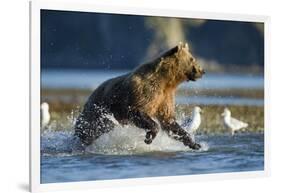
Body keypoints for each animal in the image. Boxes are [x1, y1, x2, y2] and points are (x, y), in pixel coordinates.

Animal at [74, 42, 205, 149]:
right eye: (192, 59)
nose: (202, 71)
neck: (166, 81)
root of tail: (90, 95)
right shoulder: (145, 91)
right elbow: (138, 111)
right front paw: (149, 137)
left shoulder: (165, 97)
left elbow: (169, 122)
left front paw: (195, 144)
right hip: (98, 111)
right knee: (87, 130)